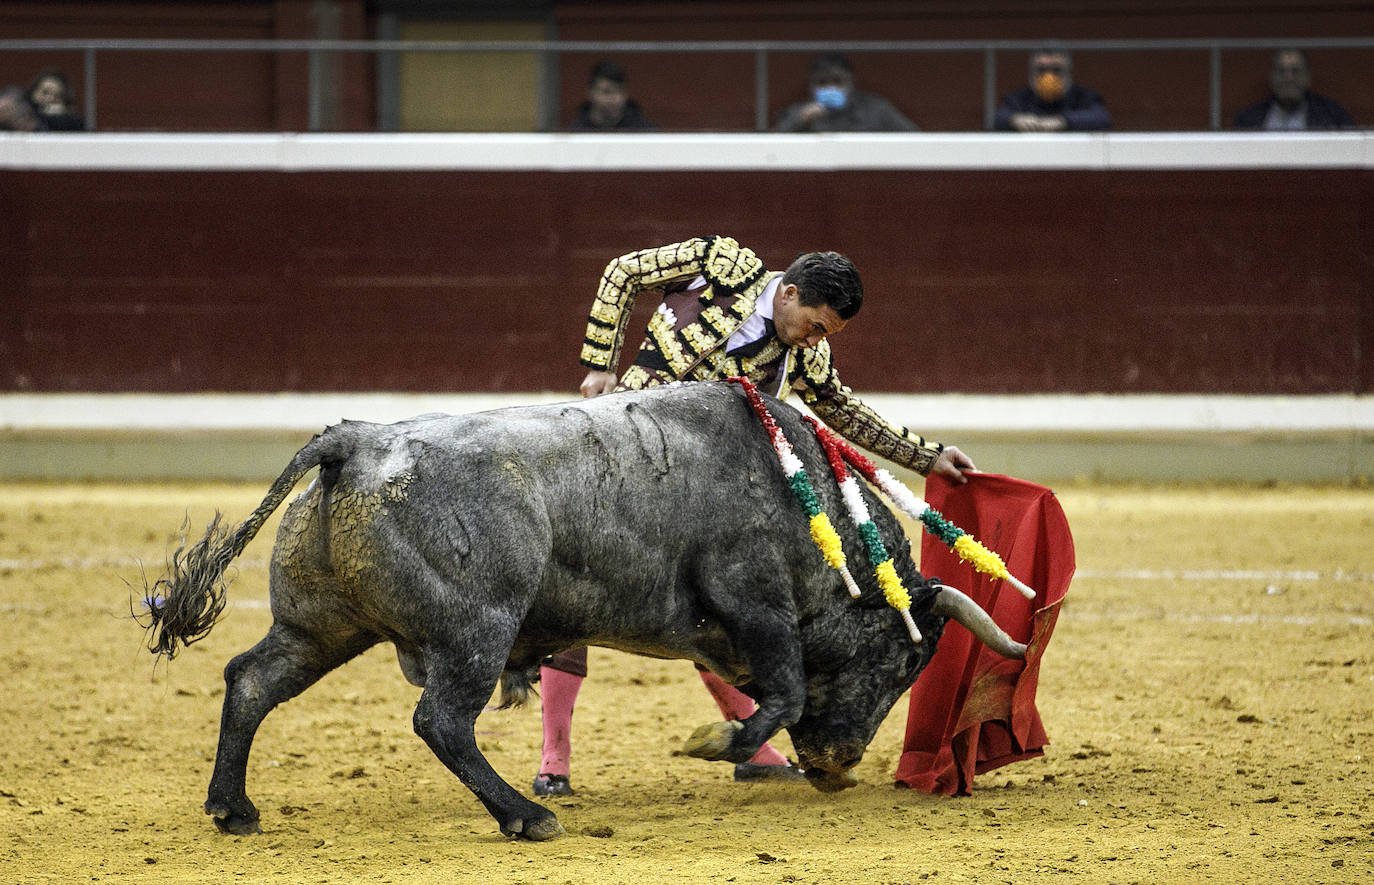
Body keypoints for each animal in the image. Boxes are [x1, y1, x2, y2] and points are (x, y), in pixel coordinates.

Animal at [142, 382, 1022, 841]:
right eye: (907, 660)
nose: (838, 767)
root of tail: (353, 442)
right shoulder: (754, 596)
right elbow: (786, 687)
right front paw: (717, 742)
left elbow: (768, 687)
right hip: (476, 630)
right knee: (442, 720)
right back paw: (526, 815)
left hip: (321, 626)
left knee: (252, 680)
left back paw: (233, 807)